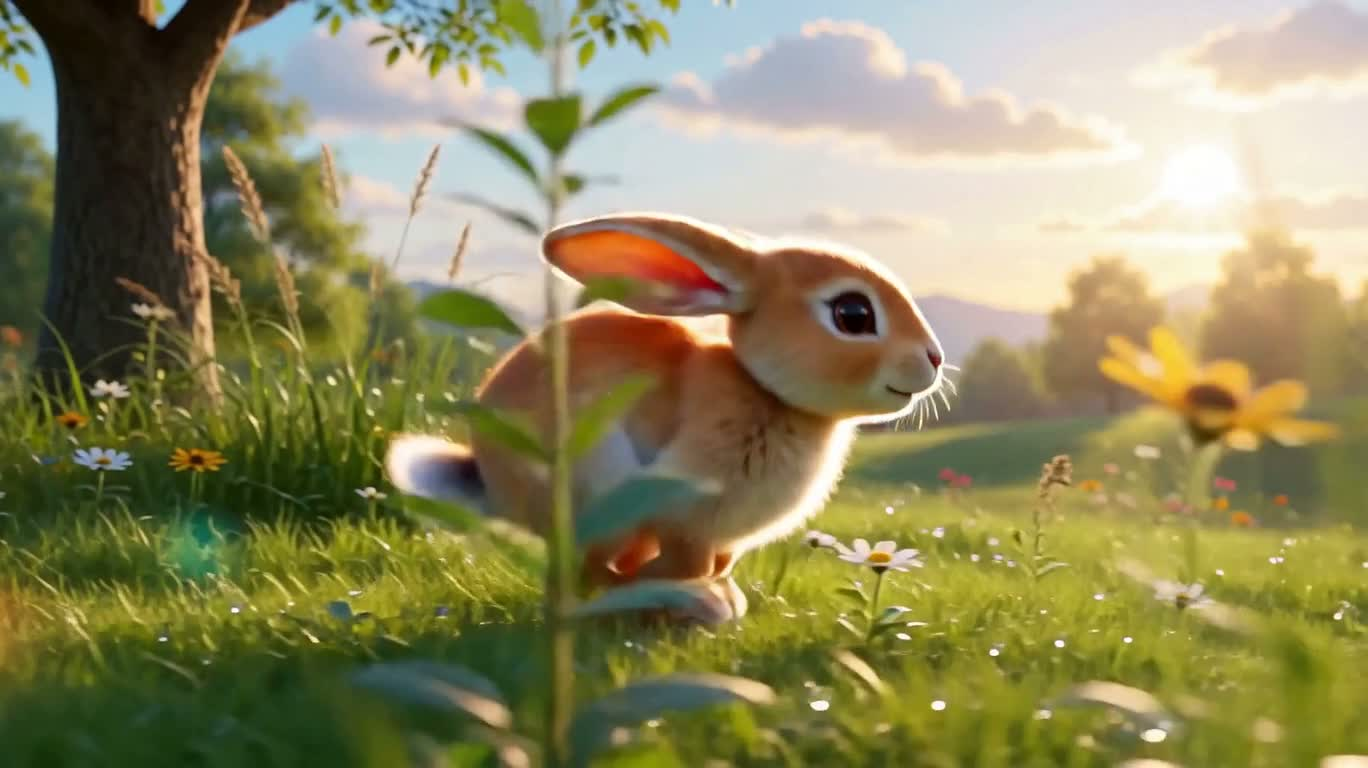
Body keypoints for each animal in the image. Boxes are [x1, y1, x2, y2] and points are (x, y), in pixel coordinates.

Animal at [386, 212, 946, 624]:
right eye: (853, 314)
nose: (934, 358)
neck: (764, 387)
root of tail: (488, 479)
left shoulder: (721, 538)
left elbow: (721, 562)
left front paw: (728, 594)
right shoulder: (686, 512)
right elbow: (687, 560)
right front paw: (709, 598)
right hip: (599, 485)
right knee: (584, 578)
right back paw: (677, 601)